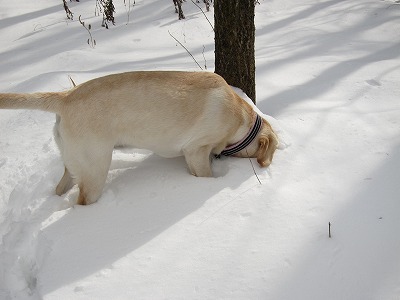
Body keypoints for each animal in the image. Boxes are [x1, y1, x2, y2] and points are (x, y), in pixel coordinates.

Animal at [0, 71, 278, 205]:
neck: (241, 118)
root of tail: (66, 96)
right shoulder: (196, 150)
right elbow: (205, 174)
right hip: (95, 169)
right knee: (82, 200)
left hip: (72, 162)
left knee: (61, 187)